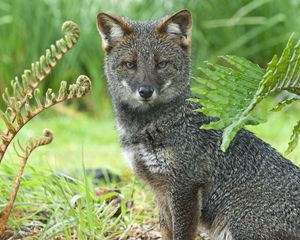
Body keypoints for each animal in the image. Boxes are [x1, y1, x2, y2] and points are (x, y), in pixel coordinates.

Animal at [95, 9, 300, 240]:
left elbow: (181, 234)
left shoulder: (185, 186)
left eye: (161, 64)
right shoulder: (159, 191)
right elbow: (166, 231)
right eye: (130, 64)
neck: (144, 129)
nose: (145, 91)